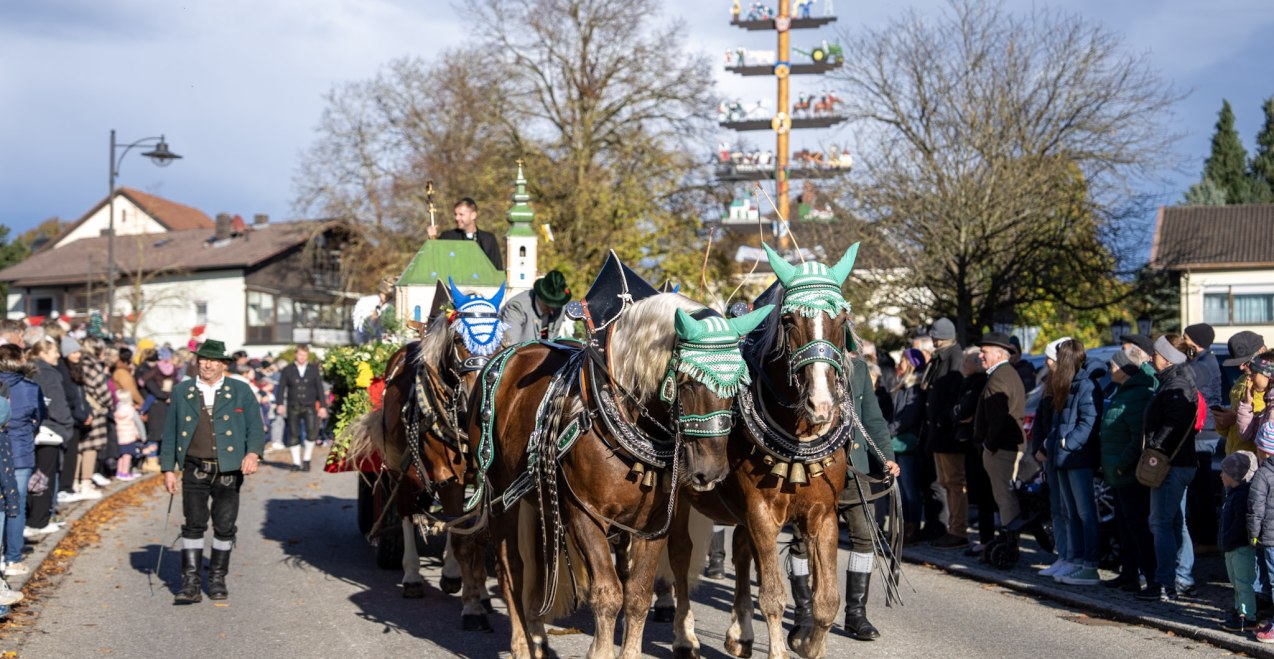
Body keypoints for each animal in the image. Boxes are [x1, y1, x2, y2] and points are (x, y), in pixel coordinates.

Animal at [349, 277, 512, 627]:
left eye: (499, 342)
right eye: (460, 339)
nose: (478, 395)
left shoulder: (483, 477)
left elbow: (476, 530)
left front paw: (479, 591)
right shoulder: (446, 475)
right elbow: (459, 528)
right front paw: (469, 601)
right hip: (399, 470)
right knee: (407, 511)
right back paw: (411, 575)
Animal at [463, 294, 769, 657]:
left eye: (738, 385)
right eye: (688, 382)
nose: (711, 472)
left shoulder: (654, 524)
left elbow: (637, 594)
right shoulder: (585, 515)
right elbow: (608, 594)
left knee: (540, 566)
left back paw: (537, 636)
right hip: (501, 498)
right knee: (512, 570)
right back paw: (521, 644)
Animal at [662, 242, 871, 657]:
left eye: (841, 319)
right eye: (789, 321)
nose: (821, 405)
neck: (798, 439)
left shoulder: (823, 514)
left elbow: (827, 601)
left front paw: (809, 645)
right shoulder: (760, 511)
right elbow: (773, 595)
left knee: (741, 552)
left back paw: (739, 633)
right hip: (680, 498)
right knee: (680, 554)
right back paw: (684, 635)